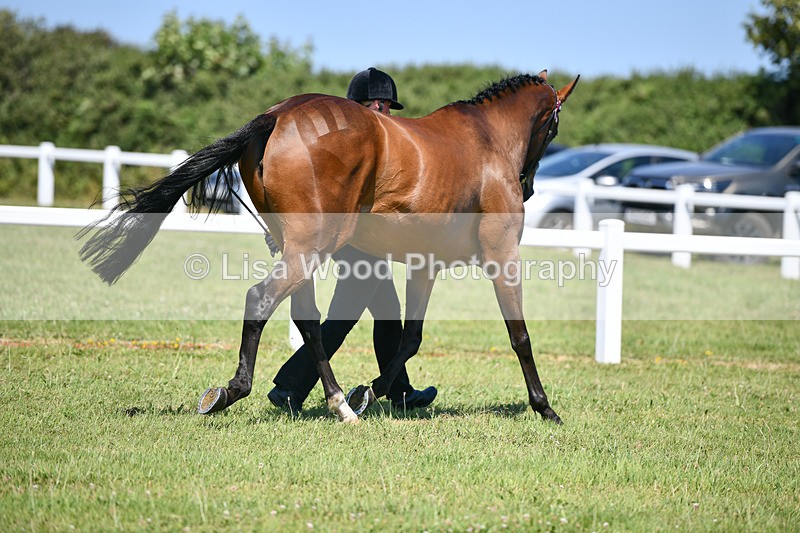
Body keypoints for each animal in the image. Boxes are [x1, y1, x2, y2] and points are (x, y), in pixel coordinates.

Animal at [78, 70, 579, 424]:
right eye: (553, 128)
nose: (529, 188)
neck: (485, 142)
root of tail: (278, 115)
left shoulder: (425, 265)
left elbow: (409, 338)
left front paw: (370, 392)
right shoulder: (503, 257)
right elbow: (519, 336)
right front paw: (544, 406)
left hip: (300, 248)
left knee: (309, 320)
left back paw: (338, 402)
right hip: (310, 248)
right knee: (262, 300)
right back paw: (235, 391)